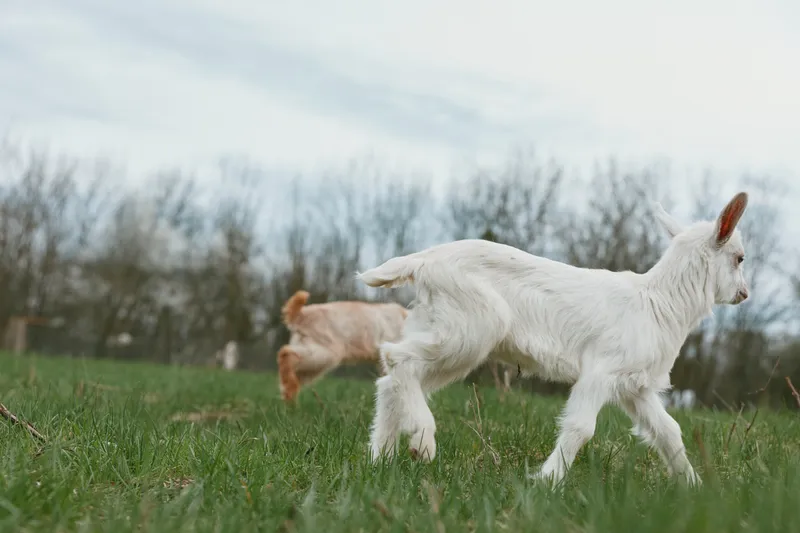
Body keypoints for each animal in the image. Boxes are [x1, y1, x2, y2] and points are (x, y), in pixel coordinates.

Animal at [357, 192, 750, 487]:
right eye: (740, 258)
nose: (744, 294)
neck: (659, 304)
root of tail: (421, 261)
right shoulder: (602, 371)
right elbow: (581, 427)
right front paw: (547, 481)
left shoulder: (635, 386)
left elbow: (669, 431)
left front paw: (696, 487)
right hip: (469, 328)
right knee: (398, 358)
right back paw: (422, 441)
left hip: (438, 324)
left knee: (392, 379)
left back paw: (381, 459)